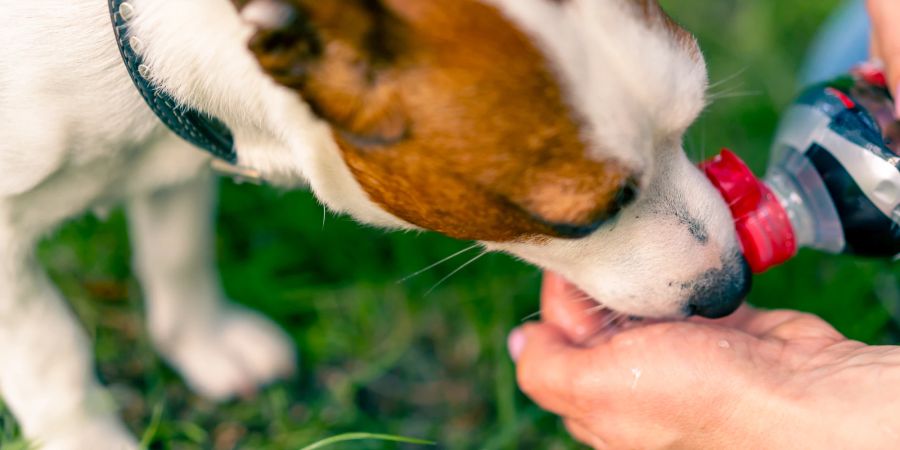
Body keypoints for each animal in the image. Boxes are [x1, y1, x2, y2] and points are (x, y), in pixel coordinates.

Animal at [0, 0, 748, 446]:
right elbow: (54, 356)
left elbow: (178, 249)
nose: (733, 286)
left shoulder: (175, 146)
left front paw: (204, 342)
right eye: (578, 218)